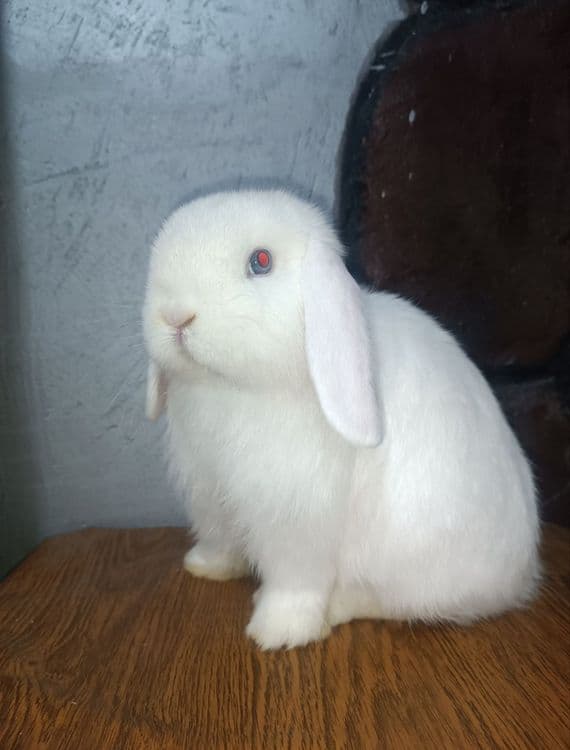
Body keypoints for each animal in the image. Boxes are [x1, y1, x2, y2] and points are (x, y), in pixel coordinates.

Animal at [143, 189, 540, 650]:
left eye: (261, 261)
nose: (175, 316)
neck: (230, 390)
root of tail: (521, 578)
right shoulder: (210, 495)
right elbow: (220, 541)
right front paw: (205, 566)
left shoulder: (297, 522)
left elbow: (295, 583)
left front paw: (276, 633)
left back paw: (337, 607)